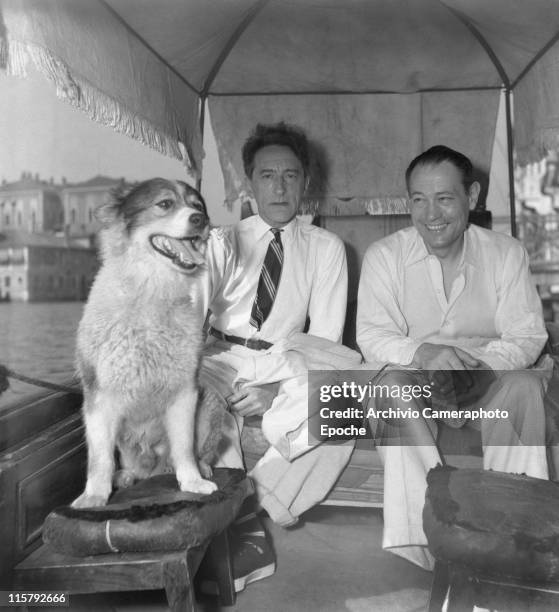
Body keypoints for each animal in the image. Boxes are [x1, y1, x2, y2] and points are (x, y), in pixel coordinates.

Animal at [72, 179, 223, 510]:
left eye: (197, 206)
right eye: (165, 204)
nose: (201, 220)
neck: (151, 294)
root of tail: (155, 467)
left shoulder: (185, 392)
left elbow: (184, 448)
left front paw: (192, 482)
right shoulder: (99, 398)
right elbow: (100, 459)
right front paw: (94, 496)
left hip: (211, 402)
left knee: (194, 454)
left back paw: (200, 469)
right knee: (133, 467)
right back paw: (126, 476)